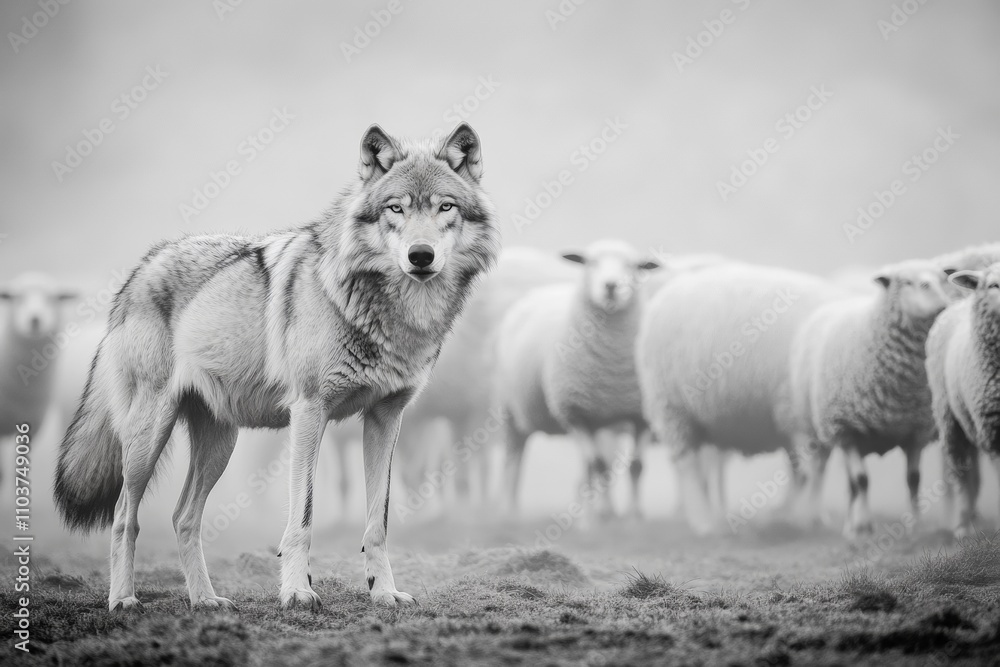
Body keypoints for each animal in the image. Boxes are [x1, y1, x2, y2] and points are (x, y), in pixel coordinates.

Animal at [54, 122, 500, 612]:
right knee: (123, 515)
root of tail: (142, 266)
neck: (392, 314)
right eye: (395, 208)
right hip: (147, 438)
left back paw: (205, 600)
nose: (421, 255)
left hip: (220, 445)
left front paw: (383, 592)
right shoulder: (309, 411)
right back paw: (123, 600)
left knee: (183, 517)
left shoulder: (386, 418)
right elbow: (302, 518)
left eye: (445, 207)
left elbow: (377, 524)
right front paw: (297, 591)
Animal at [497, 240, 660, 520]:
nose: (610, 285)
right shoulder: (576, 414)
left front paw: (634, 515)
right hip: (510, 411)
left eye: (634, 266)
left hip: (603, 421)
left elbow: (635, 466)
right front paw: (601, 517)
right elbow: (598, 465)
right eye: (590, 262)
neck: (612, 364)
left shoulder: (641, 415)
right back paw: (509, 511)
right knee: (513, 459)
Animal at [636, 261, 847, 534]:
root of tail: (666, 291)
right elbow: (813, 469)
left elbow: (810, 469)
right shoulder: (797, 416)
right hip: (673, 408)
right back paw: (703, 522)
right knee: (687, 465)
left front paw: (807, 517)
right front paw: (807, 517)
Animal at [788, 260, 950, 539]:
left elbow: (913, 480)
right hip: (819, 431)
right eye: (906, 282)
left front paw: (915, 525)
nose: (942, 304)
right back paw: (825, 519)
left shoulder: (916, 432)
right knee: (824, 472)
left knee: (850, 484)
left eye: (943, 280)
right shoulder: (848, 430)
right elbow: (863, 481)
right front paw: (862, 526)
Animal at [925, 263, 1000, 538]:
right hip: (950, 419)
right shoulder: (993, 431)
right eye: (993, 285)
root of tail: (961, 301)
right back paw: (963, 526)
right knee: (961, 473)